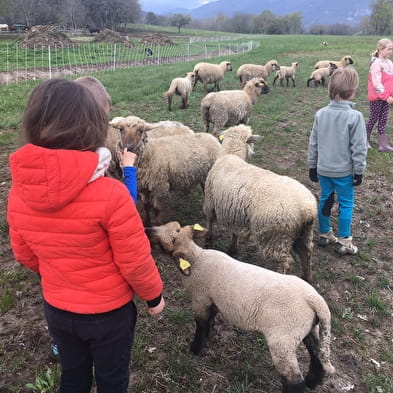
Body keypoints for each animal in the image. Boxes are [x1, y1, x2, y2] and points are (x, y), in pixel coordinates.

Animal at [145, 220, 336, 392]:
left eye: (169, 240)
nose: (146, 229)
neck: (197, 260)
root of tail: (314, 300)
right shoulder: (212, 300)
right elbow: (210, 320)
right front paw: (208, 338)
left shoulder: (200, 299)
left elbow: (200, 324)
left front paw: (195, 349)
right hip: (309, 328)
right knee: (317, 356)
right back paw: (312, 382)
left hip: (283, 340)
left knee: (294, 381)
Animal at [202, 125, 316, 282]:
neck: (231, 156)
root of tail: (306, 210)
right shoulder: (234, 213)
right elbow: (234, 232)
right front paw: (232, 248)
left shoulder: (210, 201)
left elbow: (210, 222)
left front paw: (208, 241)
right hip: (304, 233)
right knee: (307, 253)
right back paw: (307, 278)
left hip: (275, 237)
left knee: (286, 263)